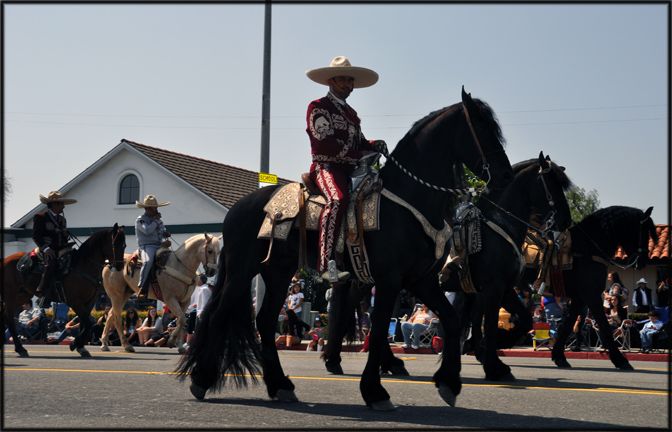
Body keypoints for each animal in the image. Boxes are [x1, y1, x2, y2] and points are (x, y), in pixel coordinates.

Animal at [1, 223, 126, 358]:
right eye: (117, 244)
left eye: (124, 245)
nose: (120, 266)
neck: (83, 266)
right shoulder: (75, 302)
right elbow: (88, 324)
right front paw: (75, 344)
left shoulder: (89, 302)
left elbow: (85, 324)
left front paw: (80, 346)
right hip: (11, 295)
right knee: (9, 318)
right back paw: (20, 348)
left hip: (22, 295)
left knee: (7, 316)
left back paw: (20, 348)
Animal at [175, 88, 516, 408]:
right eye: (483, 129)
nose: (505, 176)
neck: (408, 203)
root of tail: (237, 209)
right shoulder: (390, 280)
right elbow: (377, 333)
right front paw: (375, 391)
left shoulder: (421, 280)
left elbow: (451, 320)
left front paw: (448, 382)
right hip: (242, 270)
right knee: (218, 316)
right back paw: (201, 381)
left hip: (277, 273)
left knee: (265, 322)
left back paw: (280, 385)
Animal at [548, 208, 660, 370]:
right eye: (644, 231)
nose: (643, 261)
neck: (588, 248)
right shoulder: (591, 295)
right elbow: (604, 326)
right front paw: (620, 360)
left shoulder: (580, 298)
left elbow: (568, 324)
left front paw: (559, 356)